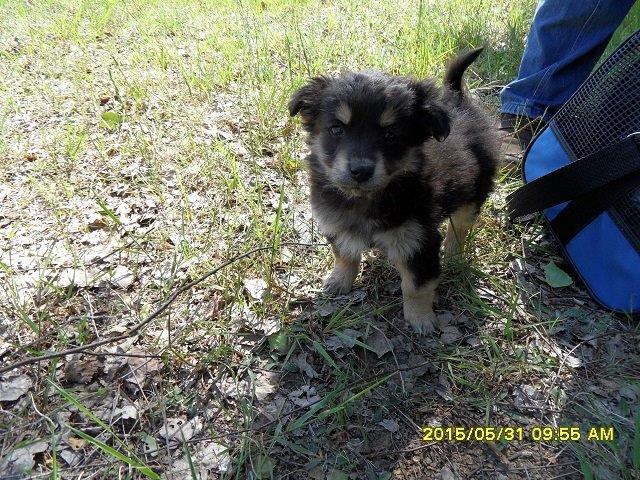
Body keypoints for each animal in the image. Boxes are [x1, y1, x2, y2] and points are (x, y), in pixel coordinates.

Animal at [288, 48, 499, 334]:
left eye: (390, 136)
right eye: (337, 129)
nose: (360, 171)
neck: (367, 198)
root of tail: (459, 102)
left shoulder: (419, 241)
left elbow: (416, 287)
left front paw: (421, 320)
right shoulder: (337, 222)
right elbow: (344, 254)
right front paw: (339, 281)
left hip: (474, 192)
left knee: (460, 226)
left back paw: (454, 256)